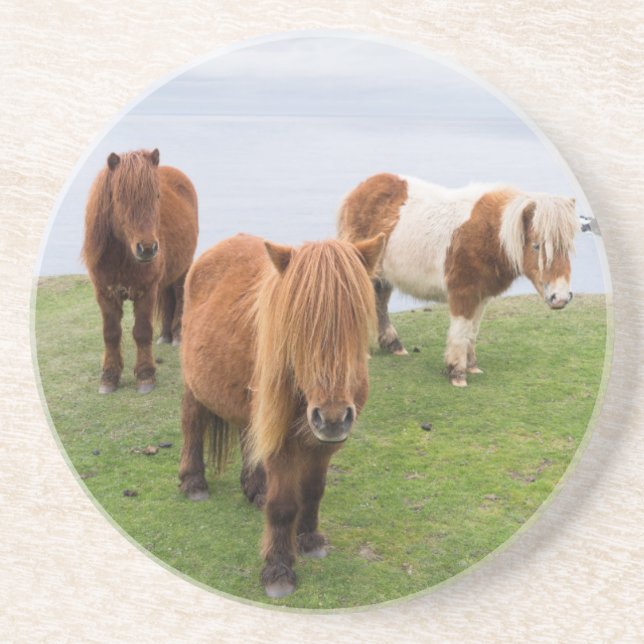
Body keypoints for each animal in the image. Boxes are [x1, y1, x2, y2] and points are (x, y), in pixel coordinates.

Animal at [82, 148, 198, 394]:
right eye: (119, 198)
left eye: (157, 196)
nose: (147, 248)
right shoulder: (105, 294)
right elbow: (111, 333)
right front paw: (109, 377)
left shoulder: (146, 291)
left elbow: (142, 332)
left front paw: (145, 376)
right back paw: (165, 335)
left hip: (182, 270)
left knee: (180, 296)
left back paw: (176, 335)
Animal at [178, 232, 385, 598]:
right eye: (298, 327)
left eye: (356, 320)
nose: (332, 417)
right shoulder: (284, 444)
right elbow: (284, 506)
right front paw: (278, 570)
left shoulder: (325, 445)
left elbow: (314, 490)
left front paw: (310, 539)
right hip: (194, 386)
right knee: (192, 425)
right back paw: (193, 482)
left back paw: (255, 489)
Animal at [337, 173, 580, 386]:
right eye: (537, 246)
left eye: (567, 248)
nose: (560, 298)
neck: (490, 233)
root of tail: (359, 190)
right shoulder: (463, 293)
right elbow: (461, 331)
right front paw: (457, 373)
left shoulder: (481, 296)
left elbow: (472, 331)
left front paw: (471, 366)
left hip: (382, 277)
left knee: (379, 302)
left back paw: (394, 345)